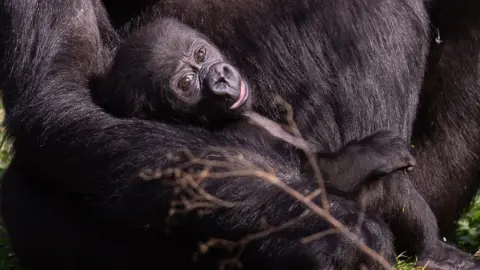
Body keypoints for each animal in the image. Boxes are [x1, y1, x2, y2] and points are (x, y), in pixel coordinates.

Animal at [92, 17, 414, 194]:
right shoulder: (239, 136)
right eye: (186, 83)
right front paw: (374, 151)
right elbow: (312, 179)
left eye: (200, 54)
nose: (220, 77)